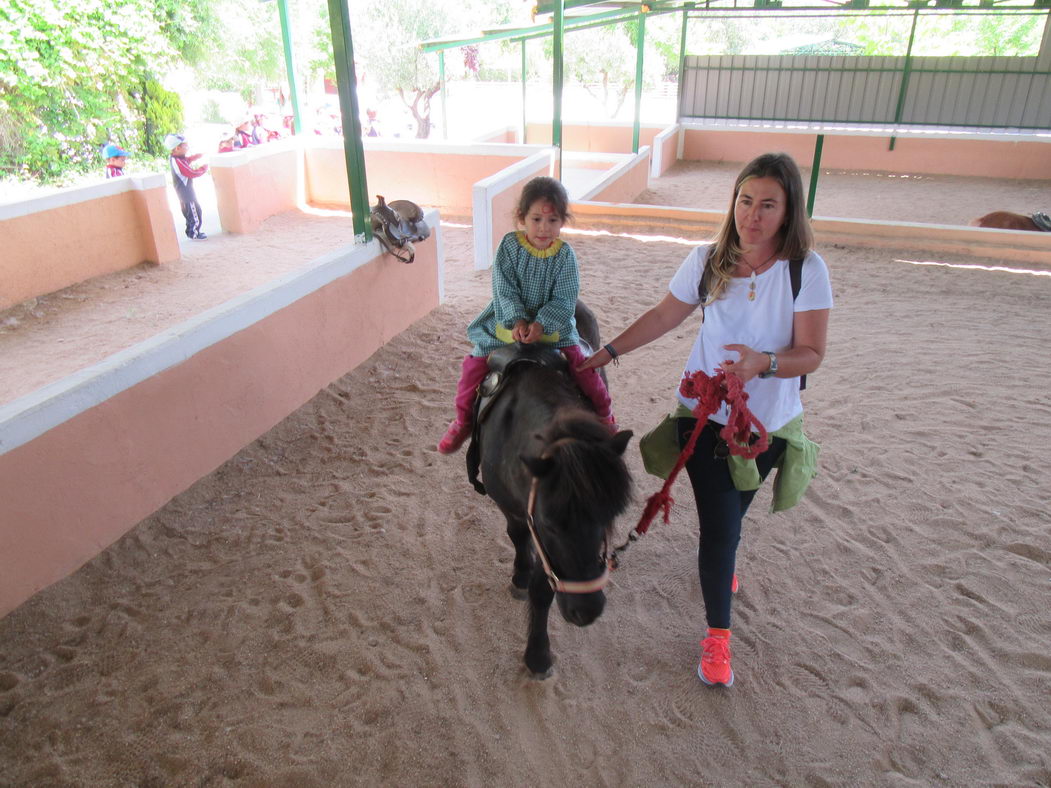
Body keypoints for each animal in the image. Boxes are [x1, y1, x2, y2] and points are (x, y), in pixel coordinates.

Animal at [470, 302, 630, 680]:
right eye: (551, 524)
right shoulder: (516, 511)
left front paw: (538, 654)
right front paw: (520, 575)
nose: (587, 611)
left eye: (610, 517)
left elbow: (543, 590)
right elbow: (517, 536)